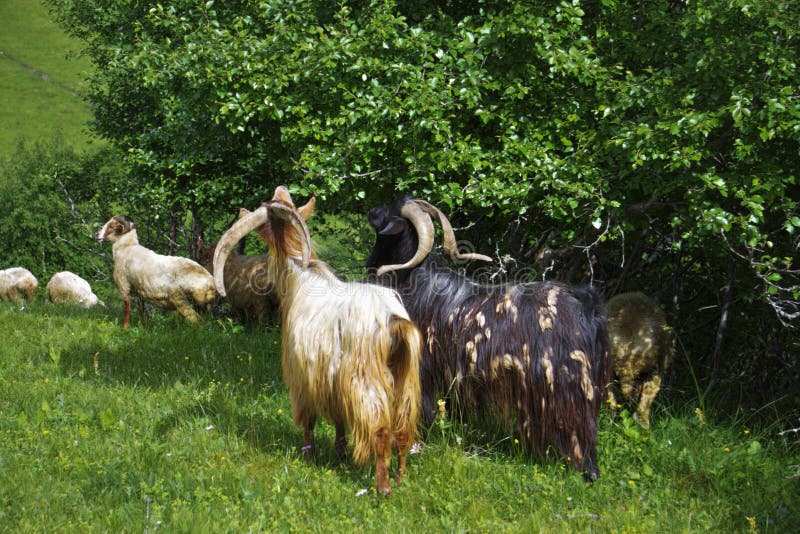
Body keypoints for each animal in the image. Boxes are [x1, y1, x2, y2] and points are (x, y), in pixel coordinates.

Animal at [213, 186, 422, 495]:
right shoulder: (331, 381)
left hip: (367, 380)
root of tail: (393, 320)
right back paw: (401, 478)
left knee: (381, 430)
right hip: (406, 380)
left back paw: (383, 487)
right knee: (403, 428)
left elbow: (308, 420)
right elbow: (338, 419)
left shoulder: (302, 376)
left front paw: (309, 456)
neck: (301, 277)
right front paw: (340, 453)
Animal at [366, 196, 610, 480]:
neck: (417, 281)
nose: (371, 210)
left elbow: (425, 408)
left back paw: (585, 470)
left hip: (568, 384)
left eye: (389, 212)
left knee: (581, 426)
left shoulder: (424, 368)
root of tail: (588, 305)